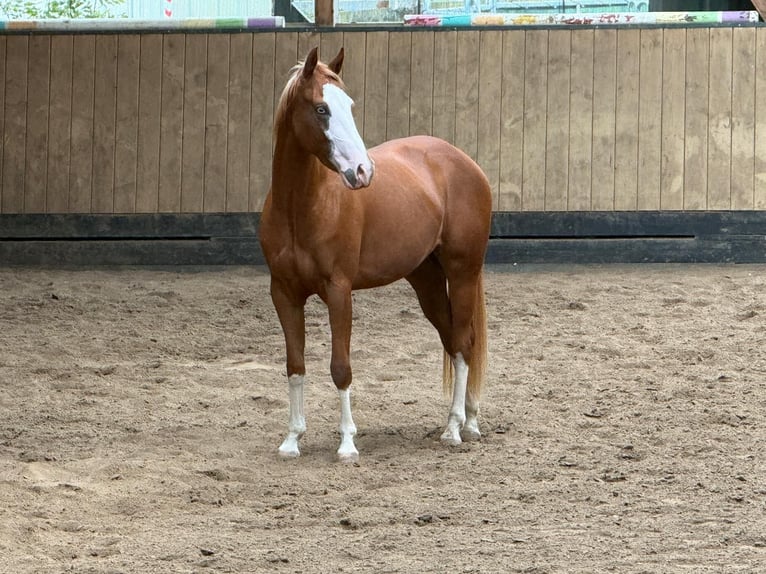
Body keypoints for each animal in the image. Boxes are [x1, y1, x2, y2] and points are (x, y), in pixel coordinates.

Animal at [259, 47, 492, 462]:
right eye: (321, 109)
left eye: (349, 106)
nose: (362, 171)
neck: (302, 210)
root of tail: (462, 161)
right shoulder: (283, 293)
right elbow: (295, 365)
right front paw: (292, 439)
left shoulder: (339, 292)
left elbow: (340, 367)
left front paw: (347, 444)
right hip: (427, 281)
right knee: (452, 340)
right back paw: (469, 419)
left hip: (463, 272)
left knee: (464, 345)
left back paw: (454, 428)